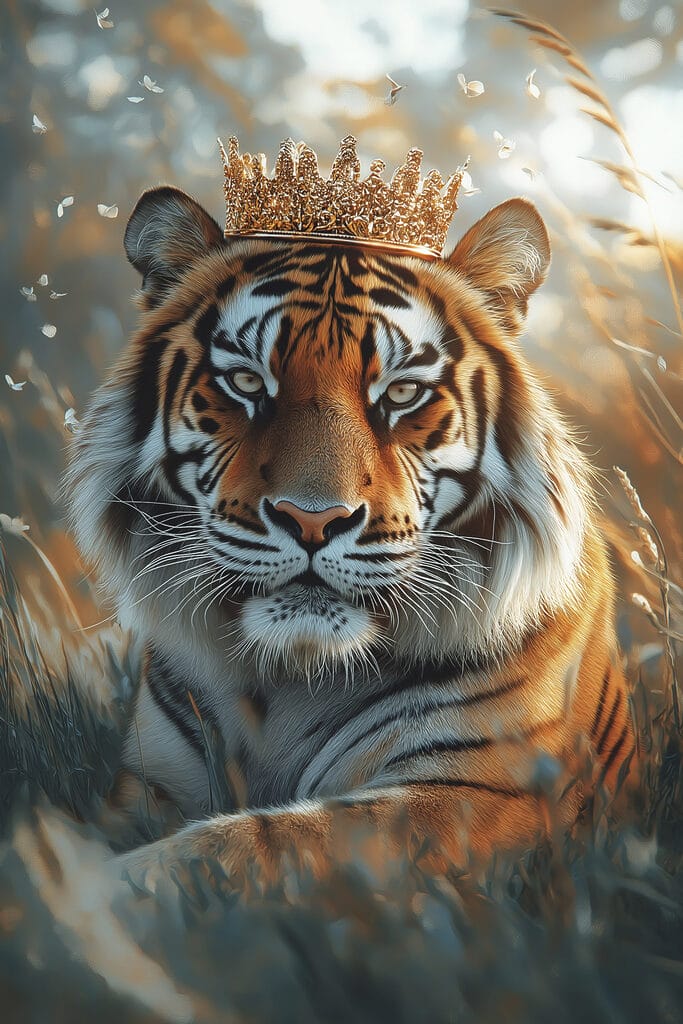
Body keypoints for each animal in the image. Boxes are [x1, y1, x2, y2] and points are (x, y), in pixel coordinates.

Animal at [66, 183, 635, 890]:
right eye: (247, 381)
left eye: (402, 392)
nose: (313, 520)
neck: (291, 678)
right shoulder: (150, 782)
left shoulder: (472, 794)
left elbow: (257, 842)